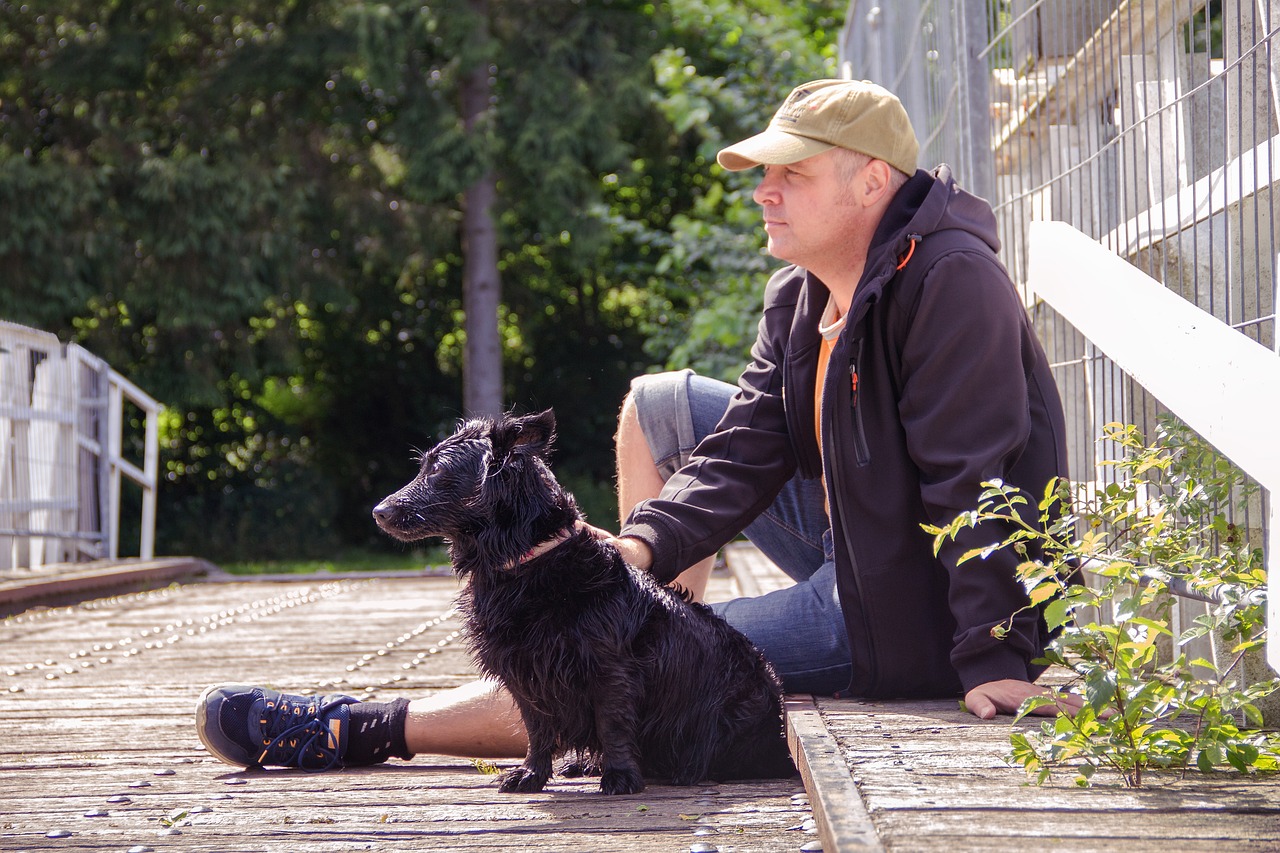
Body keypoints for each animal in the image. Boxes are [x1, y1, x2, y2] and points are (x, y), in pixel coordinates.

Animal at [368, 409, 798, 794]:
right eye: (423, 466)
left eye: (438, 471)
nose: (378, 512)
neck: (526, 564)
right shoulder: (523, 669)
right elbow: (537, 728)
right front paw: (532, 775)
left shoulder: (608, 668)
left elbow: (612, 723)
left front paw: (620, 776)